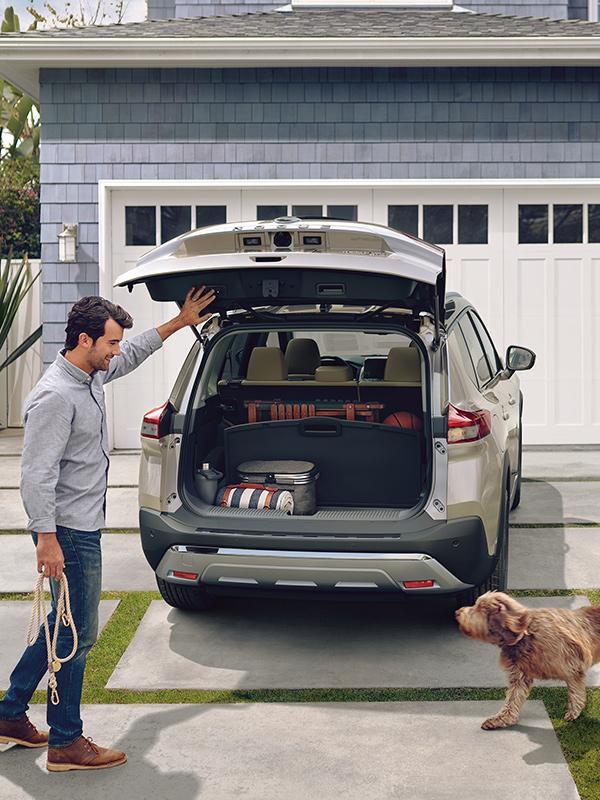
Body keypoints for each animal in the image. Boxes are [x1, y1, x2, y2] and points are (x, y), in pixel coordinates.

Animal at [454, 592, 600, 728]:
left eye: (479, 608)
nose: (457, 612)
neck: (525, 634)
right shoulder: (520, 674)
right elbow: (512, 699)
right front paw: (501, 719)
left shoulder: (573, 667)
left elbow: (576, 693)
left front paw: (573, 712)